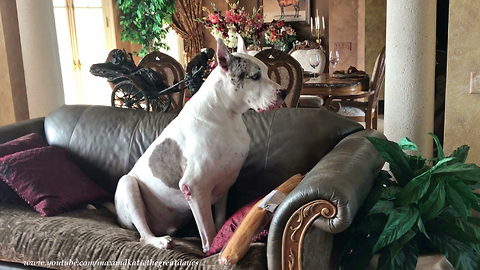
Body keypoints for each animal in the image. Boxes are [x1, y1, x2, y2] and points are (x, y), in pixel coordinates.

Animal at [114, 36, 286, 253]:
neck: (227, 115)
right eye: (255, 77)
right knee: (143, 234)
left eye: (266, 72)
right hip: (127, 184)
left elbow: (219, 220)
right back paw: (159, 241)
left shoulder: (223, 188)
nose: (284, 92)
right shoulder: (195, 188)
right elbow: (208, 229)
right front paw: (210, 250)